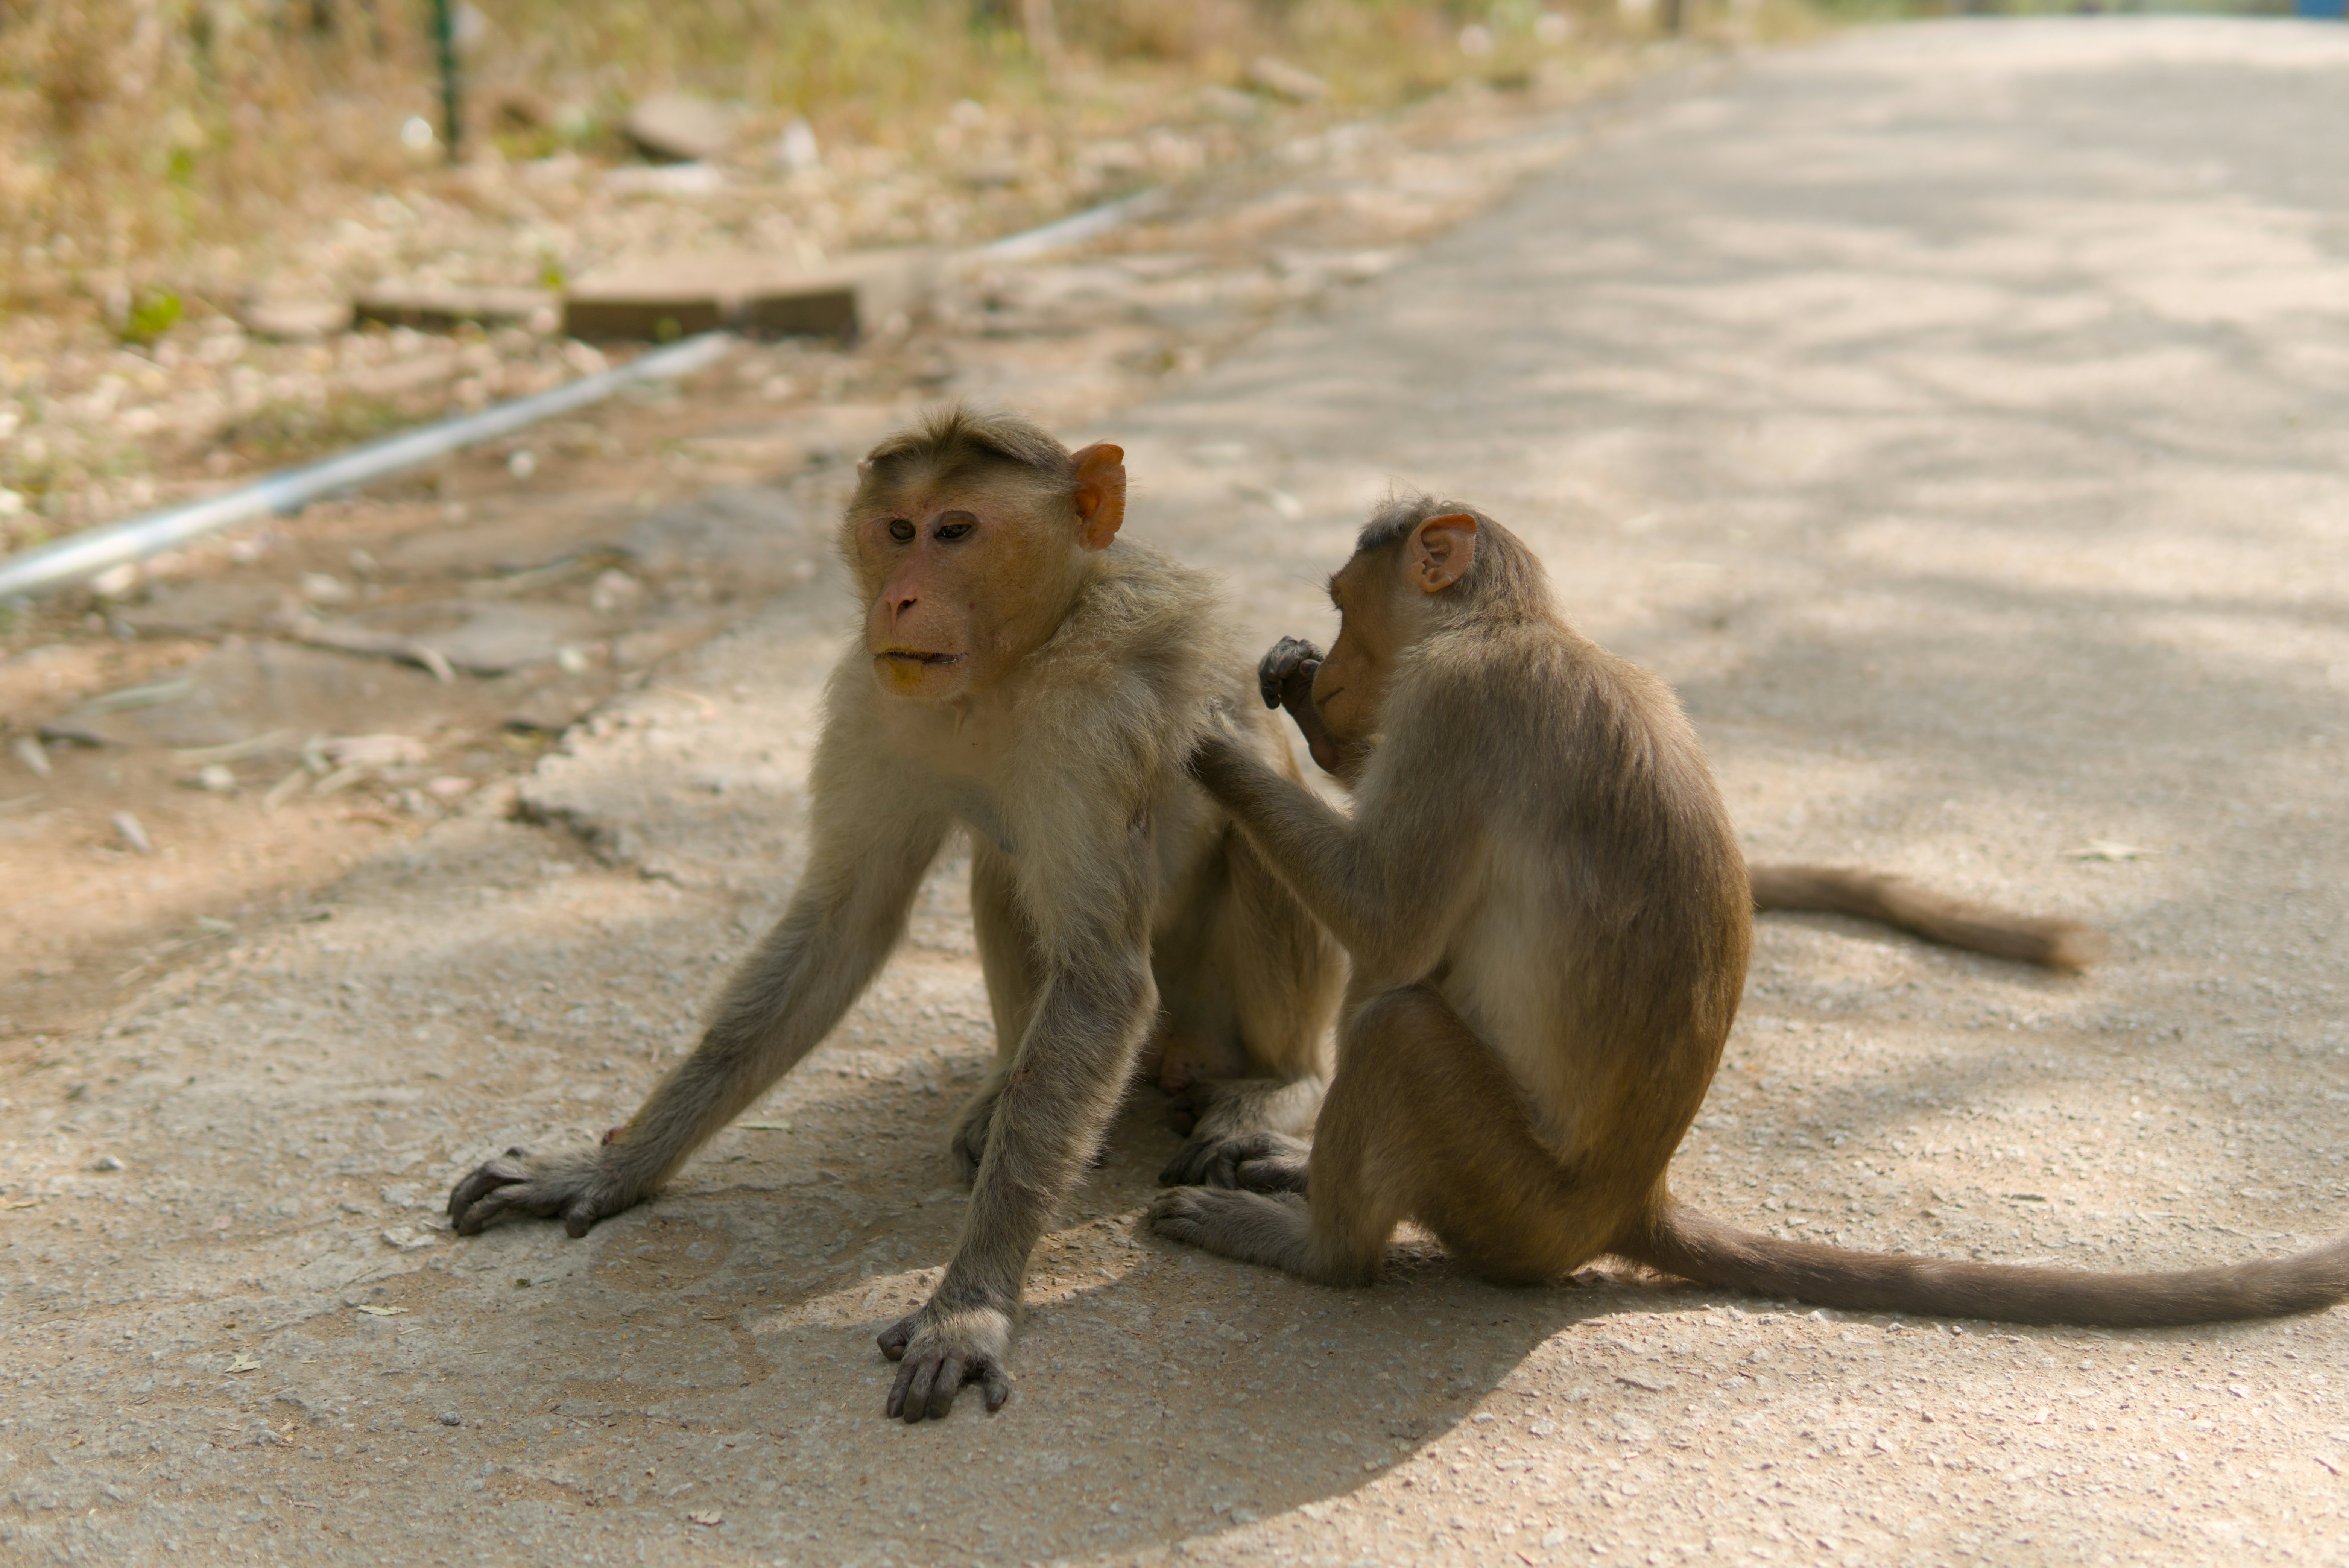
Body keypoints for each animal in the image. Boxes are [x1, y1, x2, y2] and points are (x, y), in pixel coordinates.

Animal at [448, 408, 1340, 1422]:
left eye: (955, 531)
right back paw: (998, 1095)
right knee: (1002, 868)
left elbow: (1101, 975)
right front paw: (609, 1167)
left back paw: (1277, 1088)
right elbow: (846, 915)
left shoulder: (1096, 719)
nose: (900, 600)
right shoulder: (874, 696)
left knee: (1247, 847)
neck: (1014, 662)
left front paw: (970, 1303)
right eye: (897, 530)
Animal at [1150, 496, 2349, 1326]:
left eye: (1345, 602)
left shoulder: (1460, 702)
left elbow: (1389, 919)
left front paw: (1212, 735)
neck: (1520, 626)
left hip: (1507, 1197)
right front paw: (1285, 692)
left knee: (1400, 1019)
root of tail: (1629, 1205)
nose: (1334, 678)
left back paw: (1319, 1248)